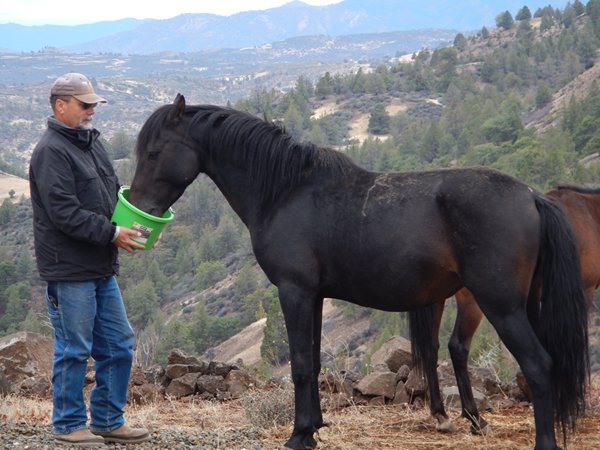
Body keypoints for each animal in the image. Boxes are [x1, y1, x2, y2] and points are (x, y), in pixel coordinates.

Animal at [410, 183, 596, 436]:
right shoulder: (584, 291)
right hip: (477, 302)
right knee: (457, 346)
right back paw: (472, 417)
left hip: (438, 298)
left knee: (432, 348)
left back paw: (443, 414)